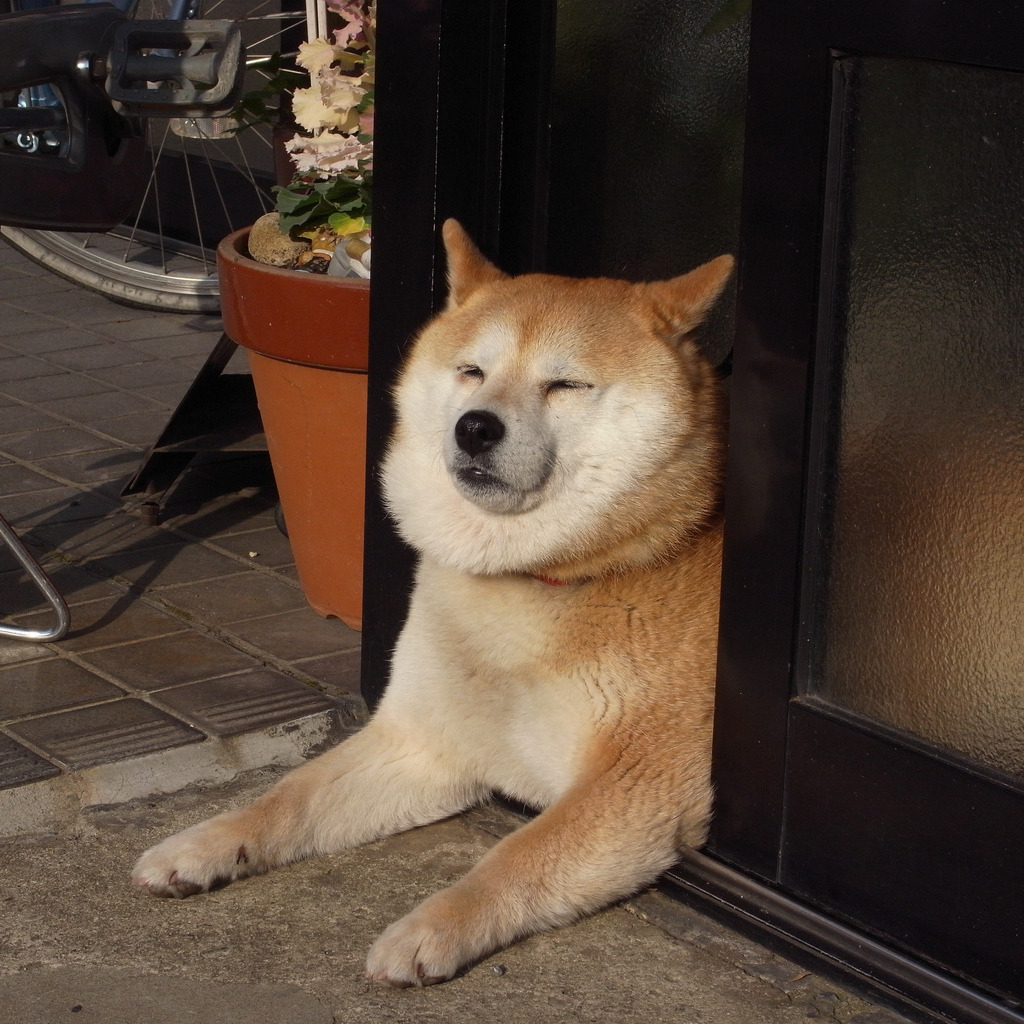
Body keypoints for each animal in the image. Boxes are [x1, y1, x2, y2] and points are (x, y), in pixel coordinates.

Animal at [130, 222, 737, 983]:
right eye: (472, 372)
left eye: (565, 383)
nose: (476, 427)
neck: (532, 583)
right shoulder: (421, 741)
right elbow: (287, 798)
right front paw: (204, 844)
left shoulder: (636, 786)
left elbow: (516, 856)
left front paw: (431, 928)